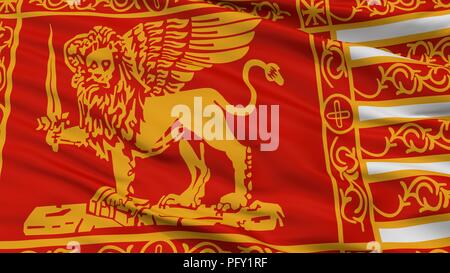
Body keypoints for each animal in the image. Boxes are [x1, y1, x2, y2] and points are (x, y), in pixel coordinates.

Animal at [39, 11, 284, 216]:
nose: (97, 76)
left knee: (237, 151)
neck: (105, 94)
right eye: (91, 63)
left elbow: (122, 173)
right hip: (187, 141)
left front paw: (120, 200)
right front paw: (54, 133)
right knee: (202, 170)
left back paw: (236, 200)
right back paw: (184, 201)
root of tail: (209, 91)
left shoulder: (120, 144)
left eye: (106, 63)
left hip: (212, 132)